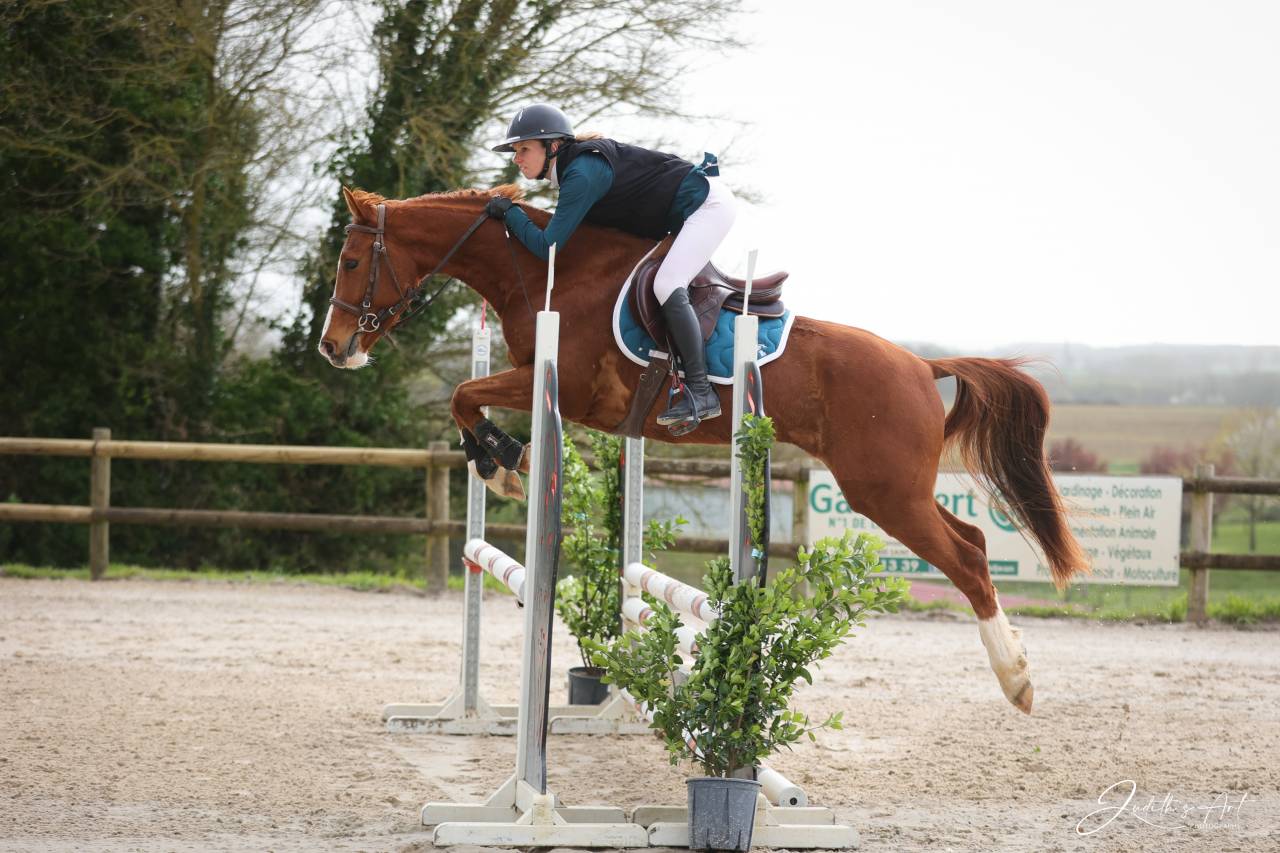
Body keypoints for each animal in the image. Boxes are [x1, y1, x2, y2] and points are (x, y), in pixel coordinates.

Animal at [318, 185, 1090, 715]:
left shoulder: (563, 387)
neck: (541, 268)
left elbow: (463, 392)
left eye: (352, 259)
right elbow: (465, 398)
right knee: (971, 540)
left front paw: (507, 460)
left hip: (882, 490)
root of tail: (919, 365)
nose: (334, 348)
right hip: (892, 488)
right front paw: (500, 464)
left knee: (968, 557)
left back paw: (1017, 680)